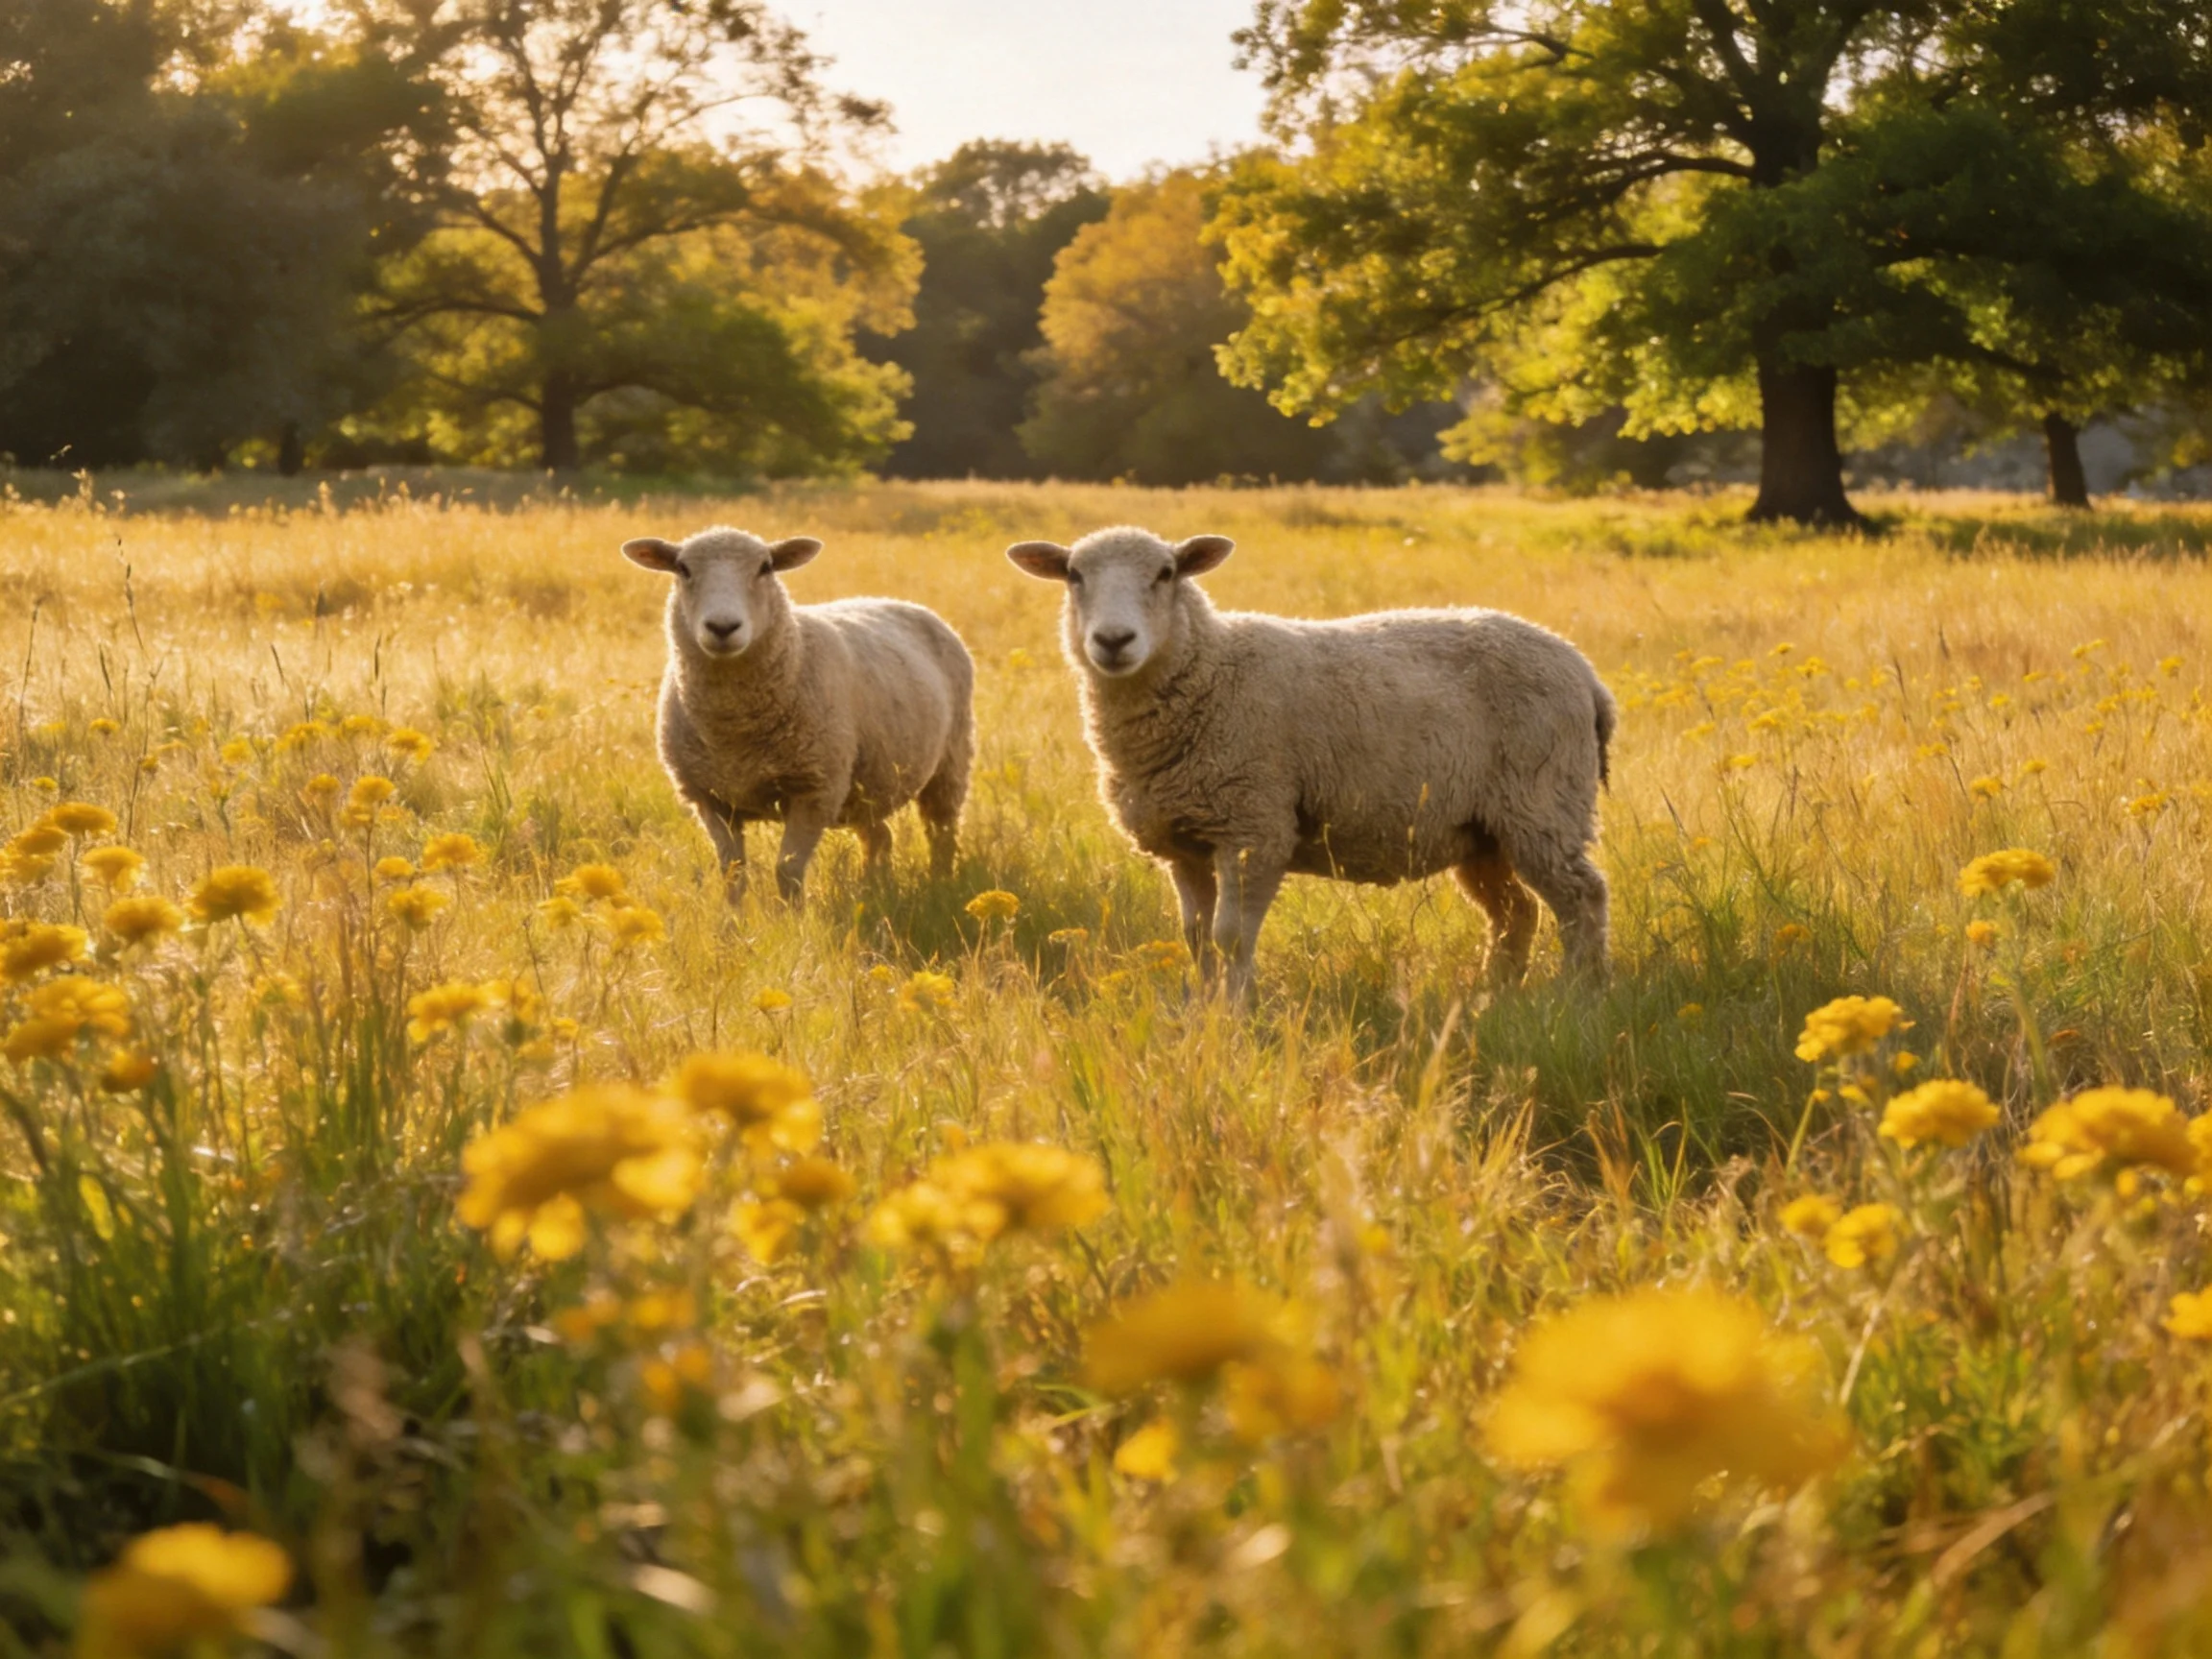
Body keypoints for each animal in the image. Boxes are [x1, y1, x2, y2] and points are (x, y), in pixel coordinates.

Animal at [624, 526, 974, 903]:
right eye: (683, 569)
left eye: (765, 568)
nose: (722, 627)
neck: (733, 734)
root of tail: (901, 602)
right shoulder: (709, 798)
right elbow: (733, 874)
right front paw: (734, 919)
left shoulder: (815, 790)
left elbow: (787, 872)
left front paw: (792, 917)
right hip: (866, 784)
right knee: (879, 838)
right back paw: (872, 889)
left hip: (951, 761)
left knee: (941, 834)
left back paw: (940, 885)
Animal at [1007, 525, 1615, 999]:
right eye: (1074, 575)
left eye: (1166, 572)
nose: (1113, 640)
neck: (1211, 670)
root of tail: (1585, 672)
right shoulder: (1186, 842)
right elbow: (1197, 938)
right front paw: (1205, 1009)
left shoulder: (1254, 826)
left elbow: (1230, 937)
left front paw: (1238, 1013)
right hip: (1482, 829)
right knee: (1516, 913)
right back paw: (1496, 990)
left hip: (1542, 802)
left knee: (1582, 897)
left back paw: (1578, 990)